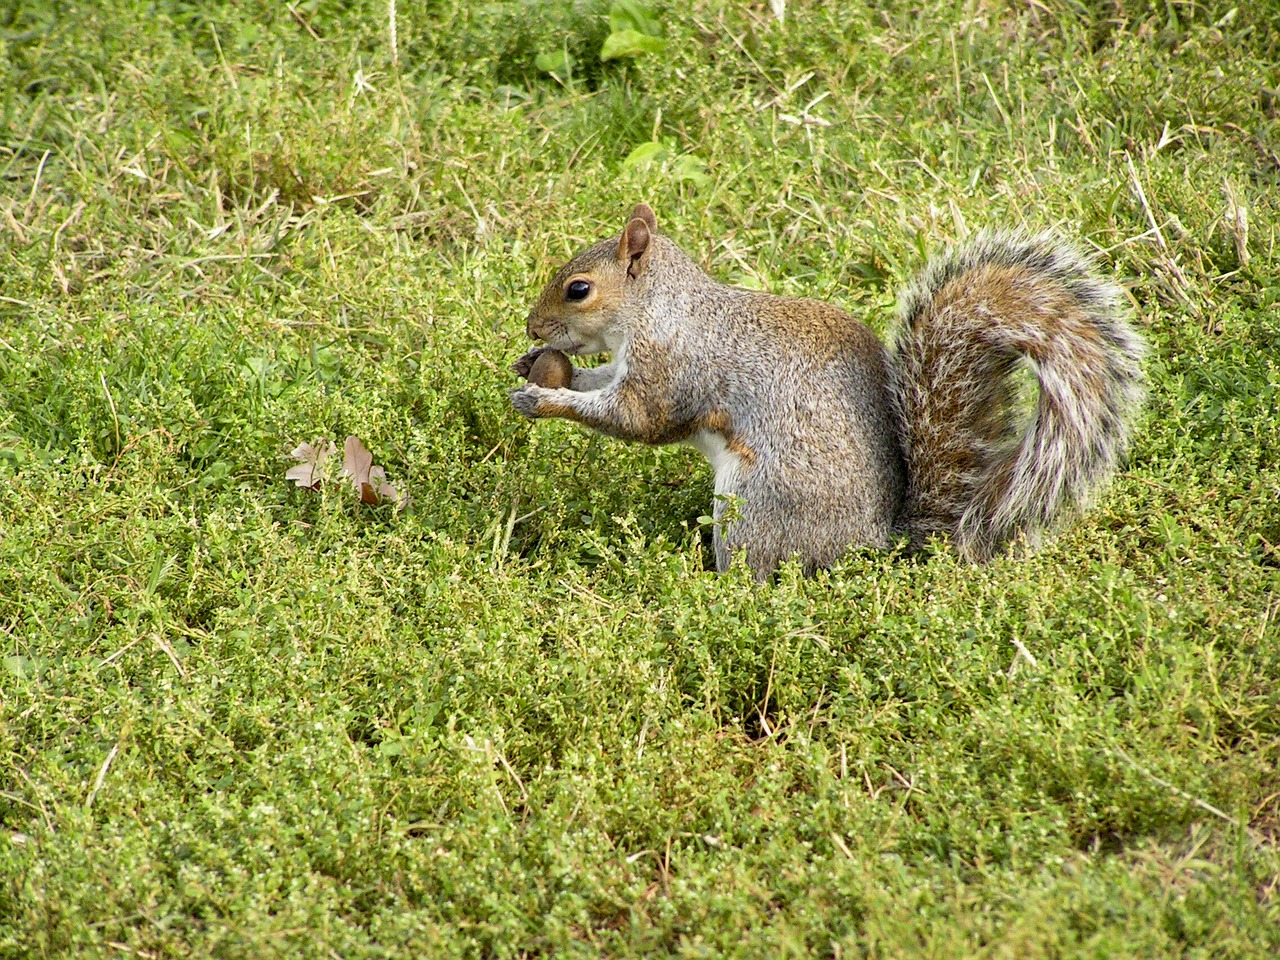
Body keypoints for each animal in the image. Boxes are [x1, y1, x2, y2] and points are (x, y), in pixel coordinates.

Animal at [512, 204, 1152, 578]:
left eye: (578, 289)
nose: (532, 328)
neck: (659, 309)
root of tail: (878, 544)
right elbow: (599, 381)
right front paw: (536, 369)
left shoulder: (670, 371)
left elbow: (637, 420)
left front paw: (545, 399)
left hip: (756, 507)